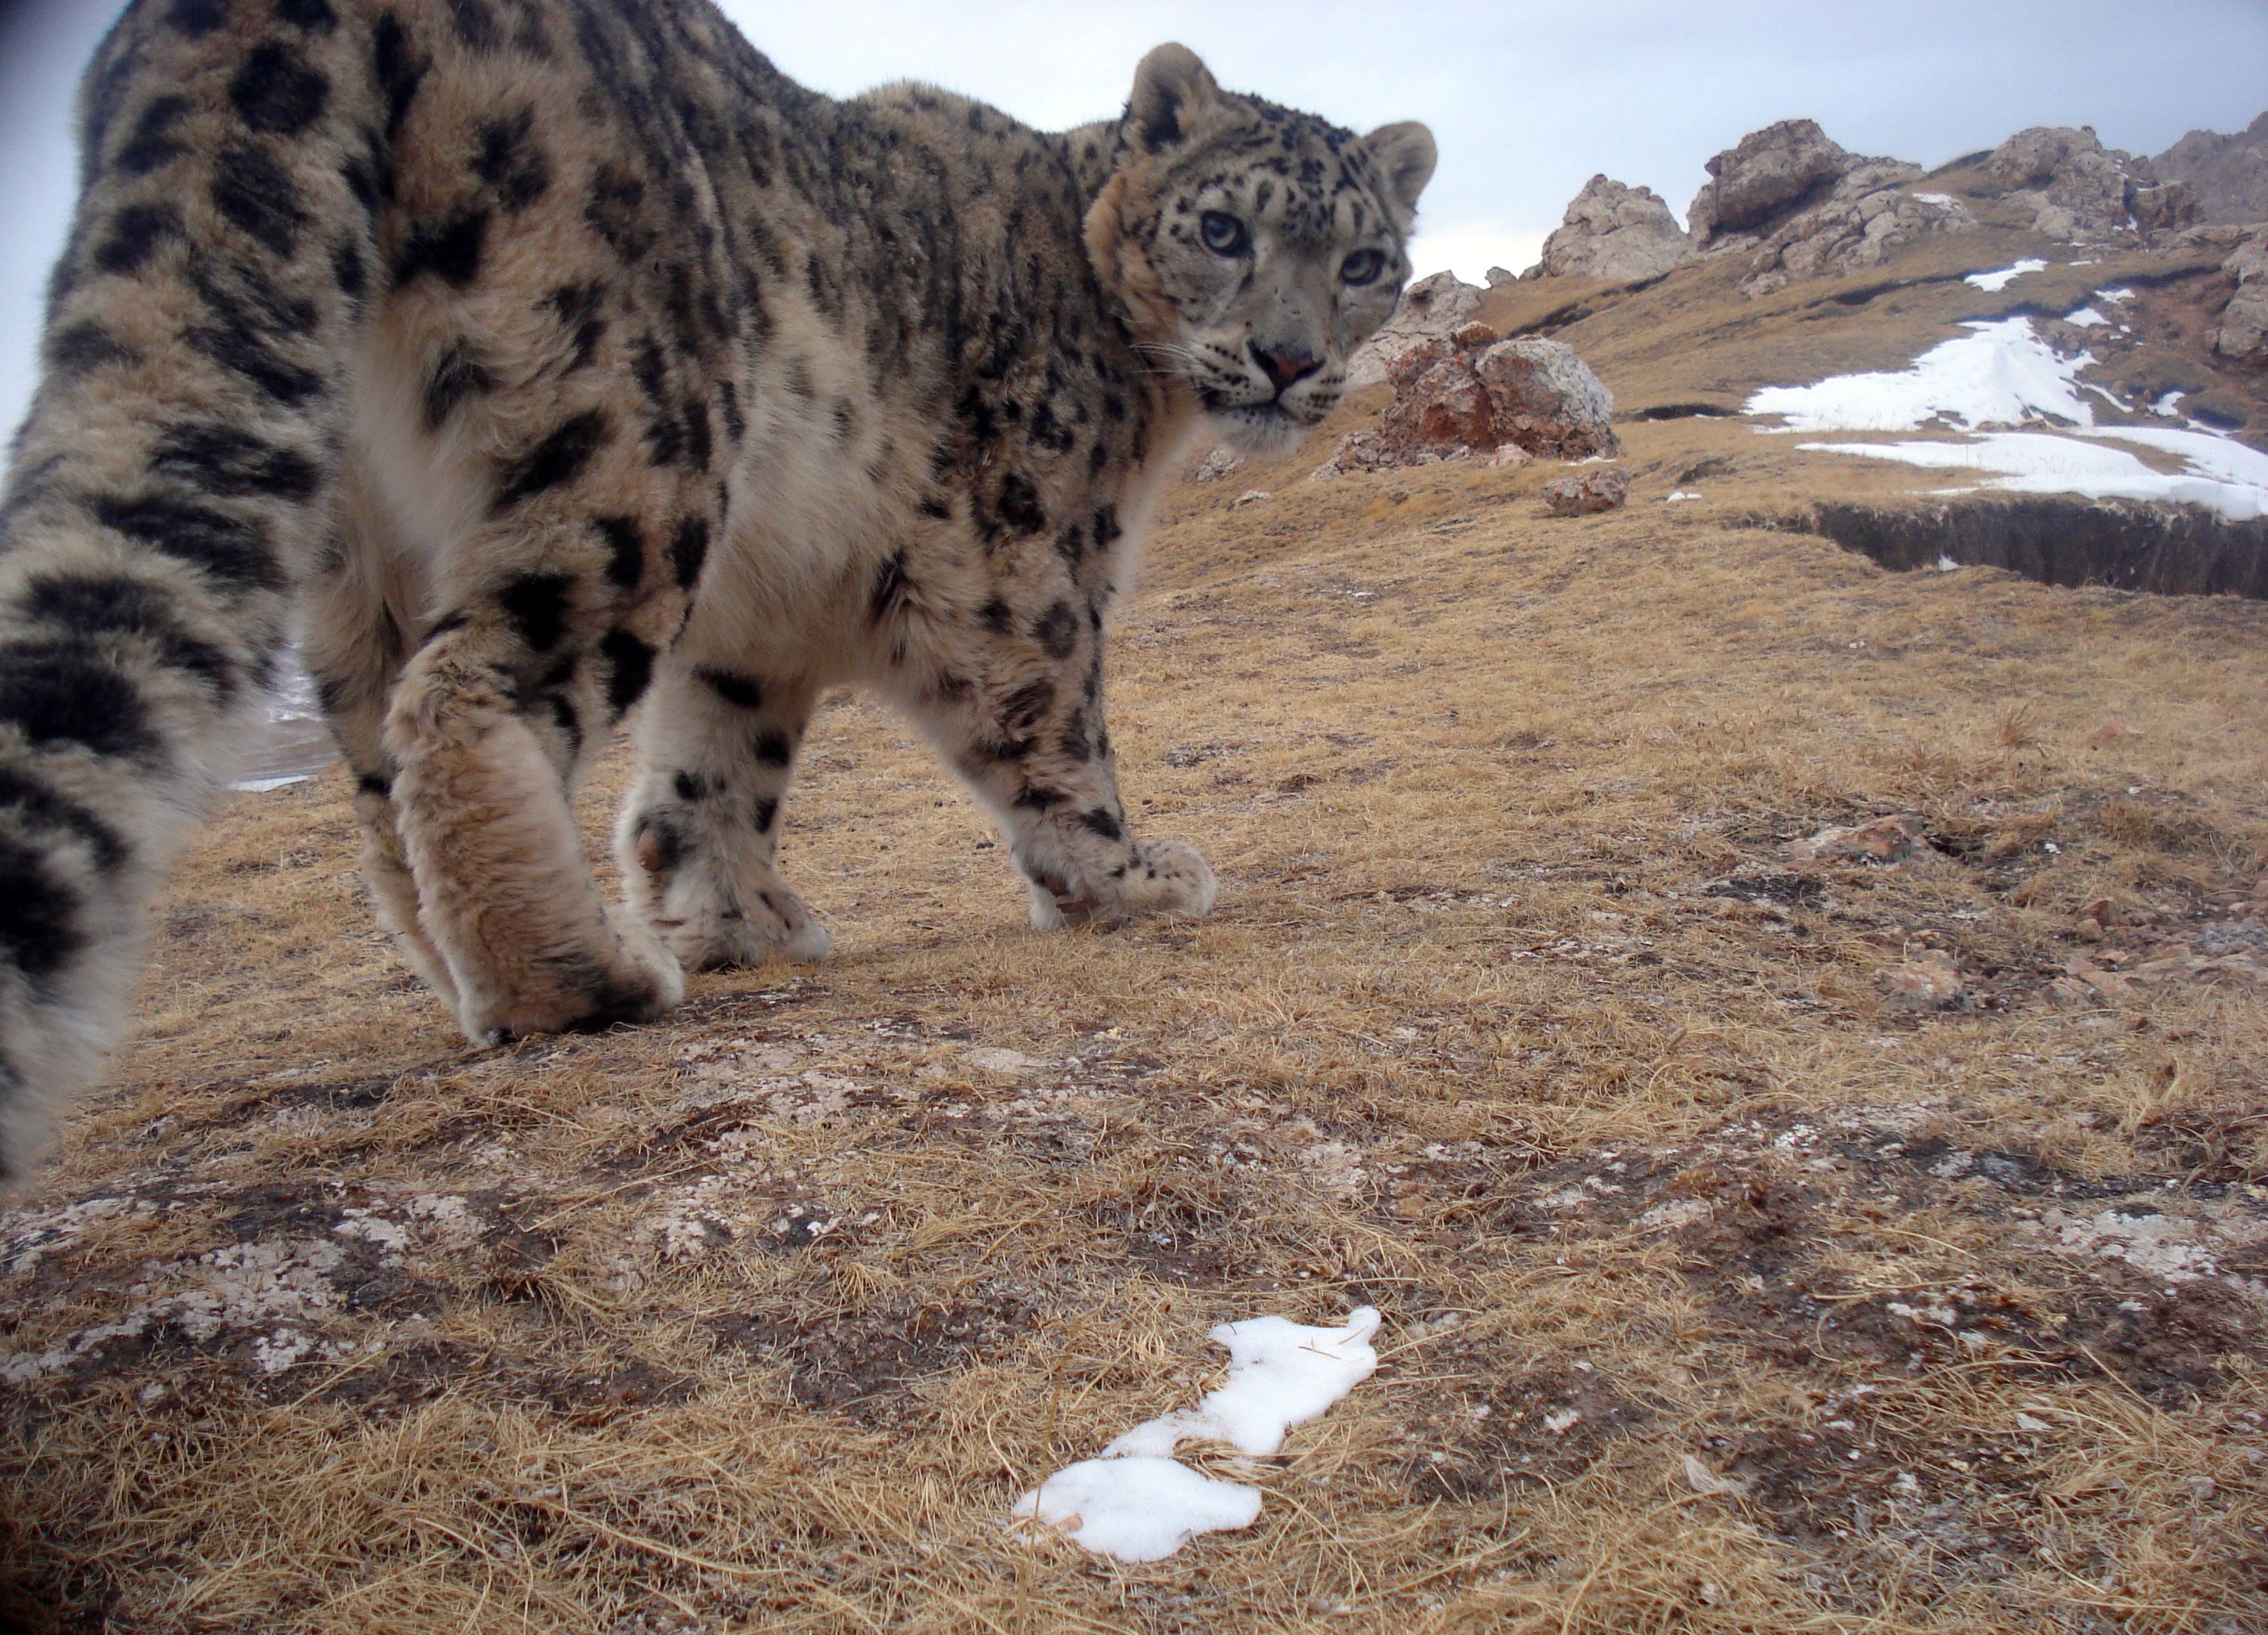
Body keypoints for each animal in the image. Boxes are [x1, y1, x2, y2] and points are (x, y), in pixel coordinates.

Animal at [0, 0, 1433, 1179]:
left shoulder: (758, 627)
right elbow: (1055, 717)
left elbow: (710, 772)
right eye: (1222, 229)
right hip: (628, 433)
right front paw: (1127, 874)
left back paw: (483, 978)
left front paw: (736, 920)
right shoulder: (1021, 555)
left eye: (1364, 263)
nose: (1289, 358)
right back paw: (578, 977)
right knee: (467, 688)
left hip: (359, 548)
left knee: (376, 774)